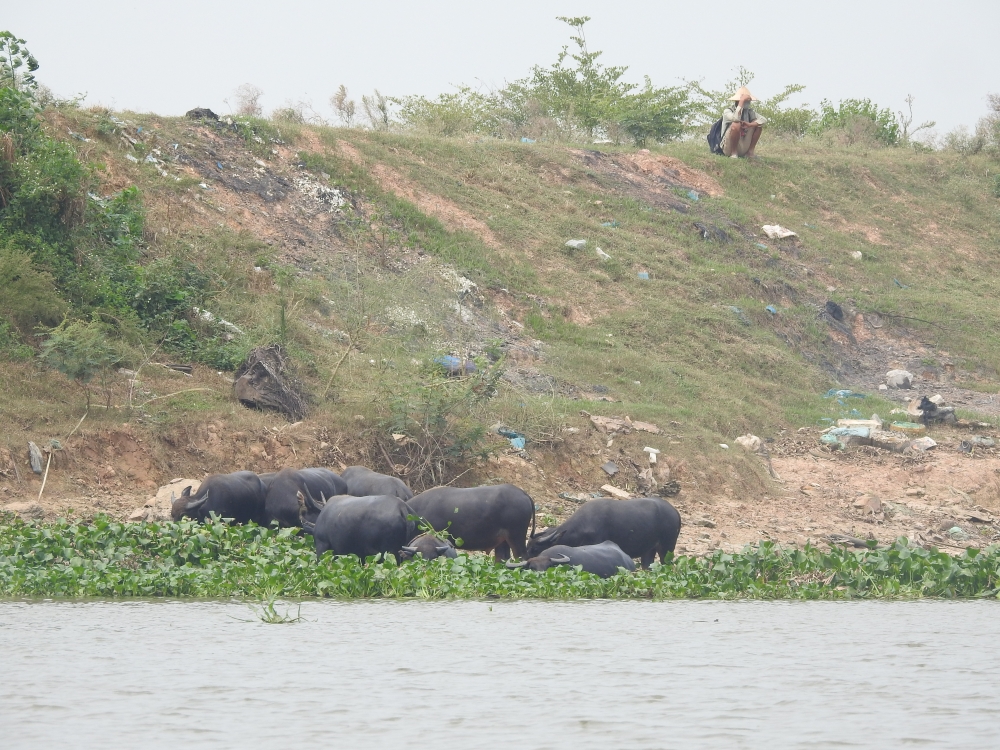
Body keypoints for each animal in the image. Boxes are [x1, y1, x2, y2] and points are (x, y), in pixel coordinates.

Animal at [524, 500, 680, 568]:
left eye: (535, 549)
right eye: (528, 546)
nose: (523, 560)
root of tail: (676, 513)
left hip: (667, 549)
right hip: (649, 552)